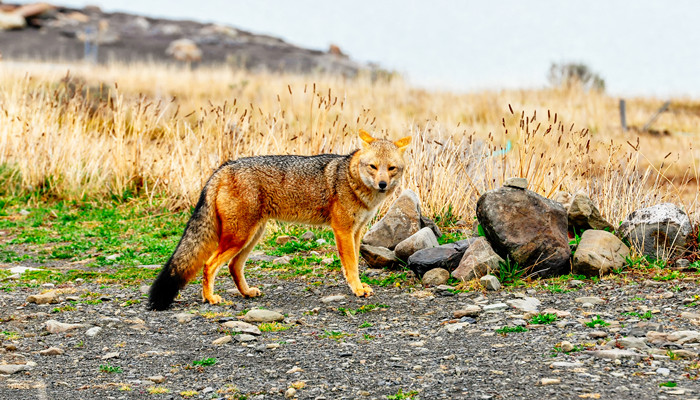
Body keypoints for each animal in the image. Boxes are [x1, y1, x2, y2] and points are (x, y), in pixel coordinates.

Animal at [148, 130, 410, 310]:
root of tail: (224, 167)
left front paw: (359, 286)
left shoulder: (356, 231)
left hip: (251, 236)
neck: (350, 178)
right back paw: (210, 298)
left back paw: (246, 293)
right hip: (239, 237)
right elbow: (352, 265)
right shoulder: (342, 231)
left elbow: (353, 262)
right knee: (209, 264)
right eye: (373, 167)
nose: (382, 184)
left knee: (233, 266)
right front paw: (357, 289)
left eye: (391, 168)